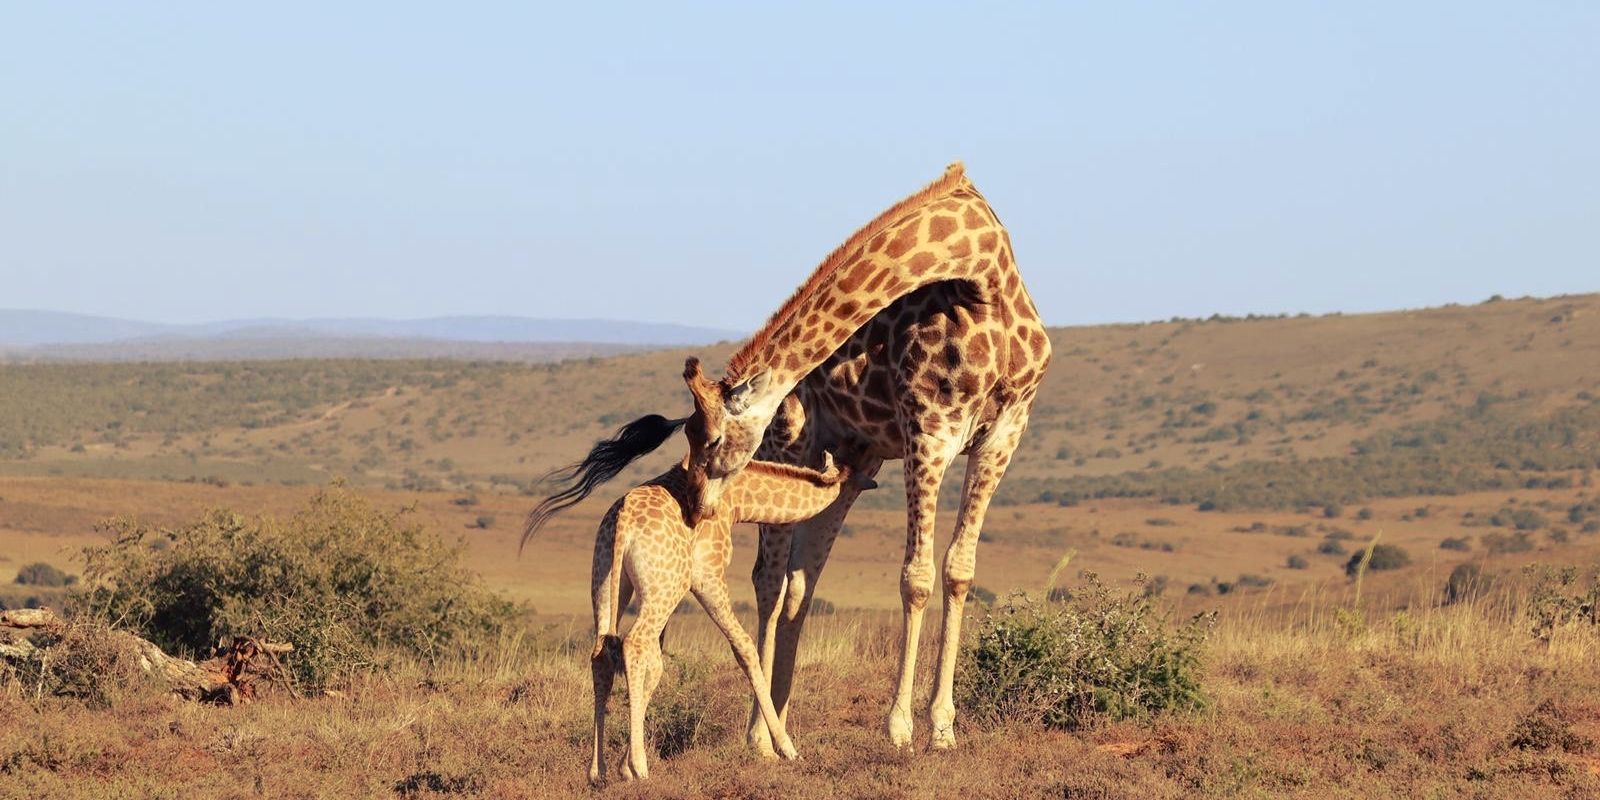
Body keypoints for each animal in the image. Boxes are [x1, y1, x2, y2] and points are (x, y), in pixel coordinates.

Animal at [585, 358, 871, 783]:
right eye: (855, 465)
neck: (739, 499)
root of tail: (621, 525)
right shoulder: (707, 576)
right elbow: (745, 648)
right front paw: (785, 748)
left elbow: (658, 663)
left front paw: (620, 765)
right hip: (661, 587)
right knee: (632, 645)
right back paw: (641, 768)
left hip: (609, 580)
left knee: (604, 650)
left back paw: (597, 771)